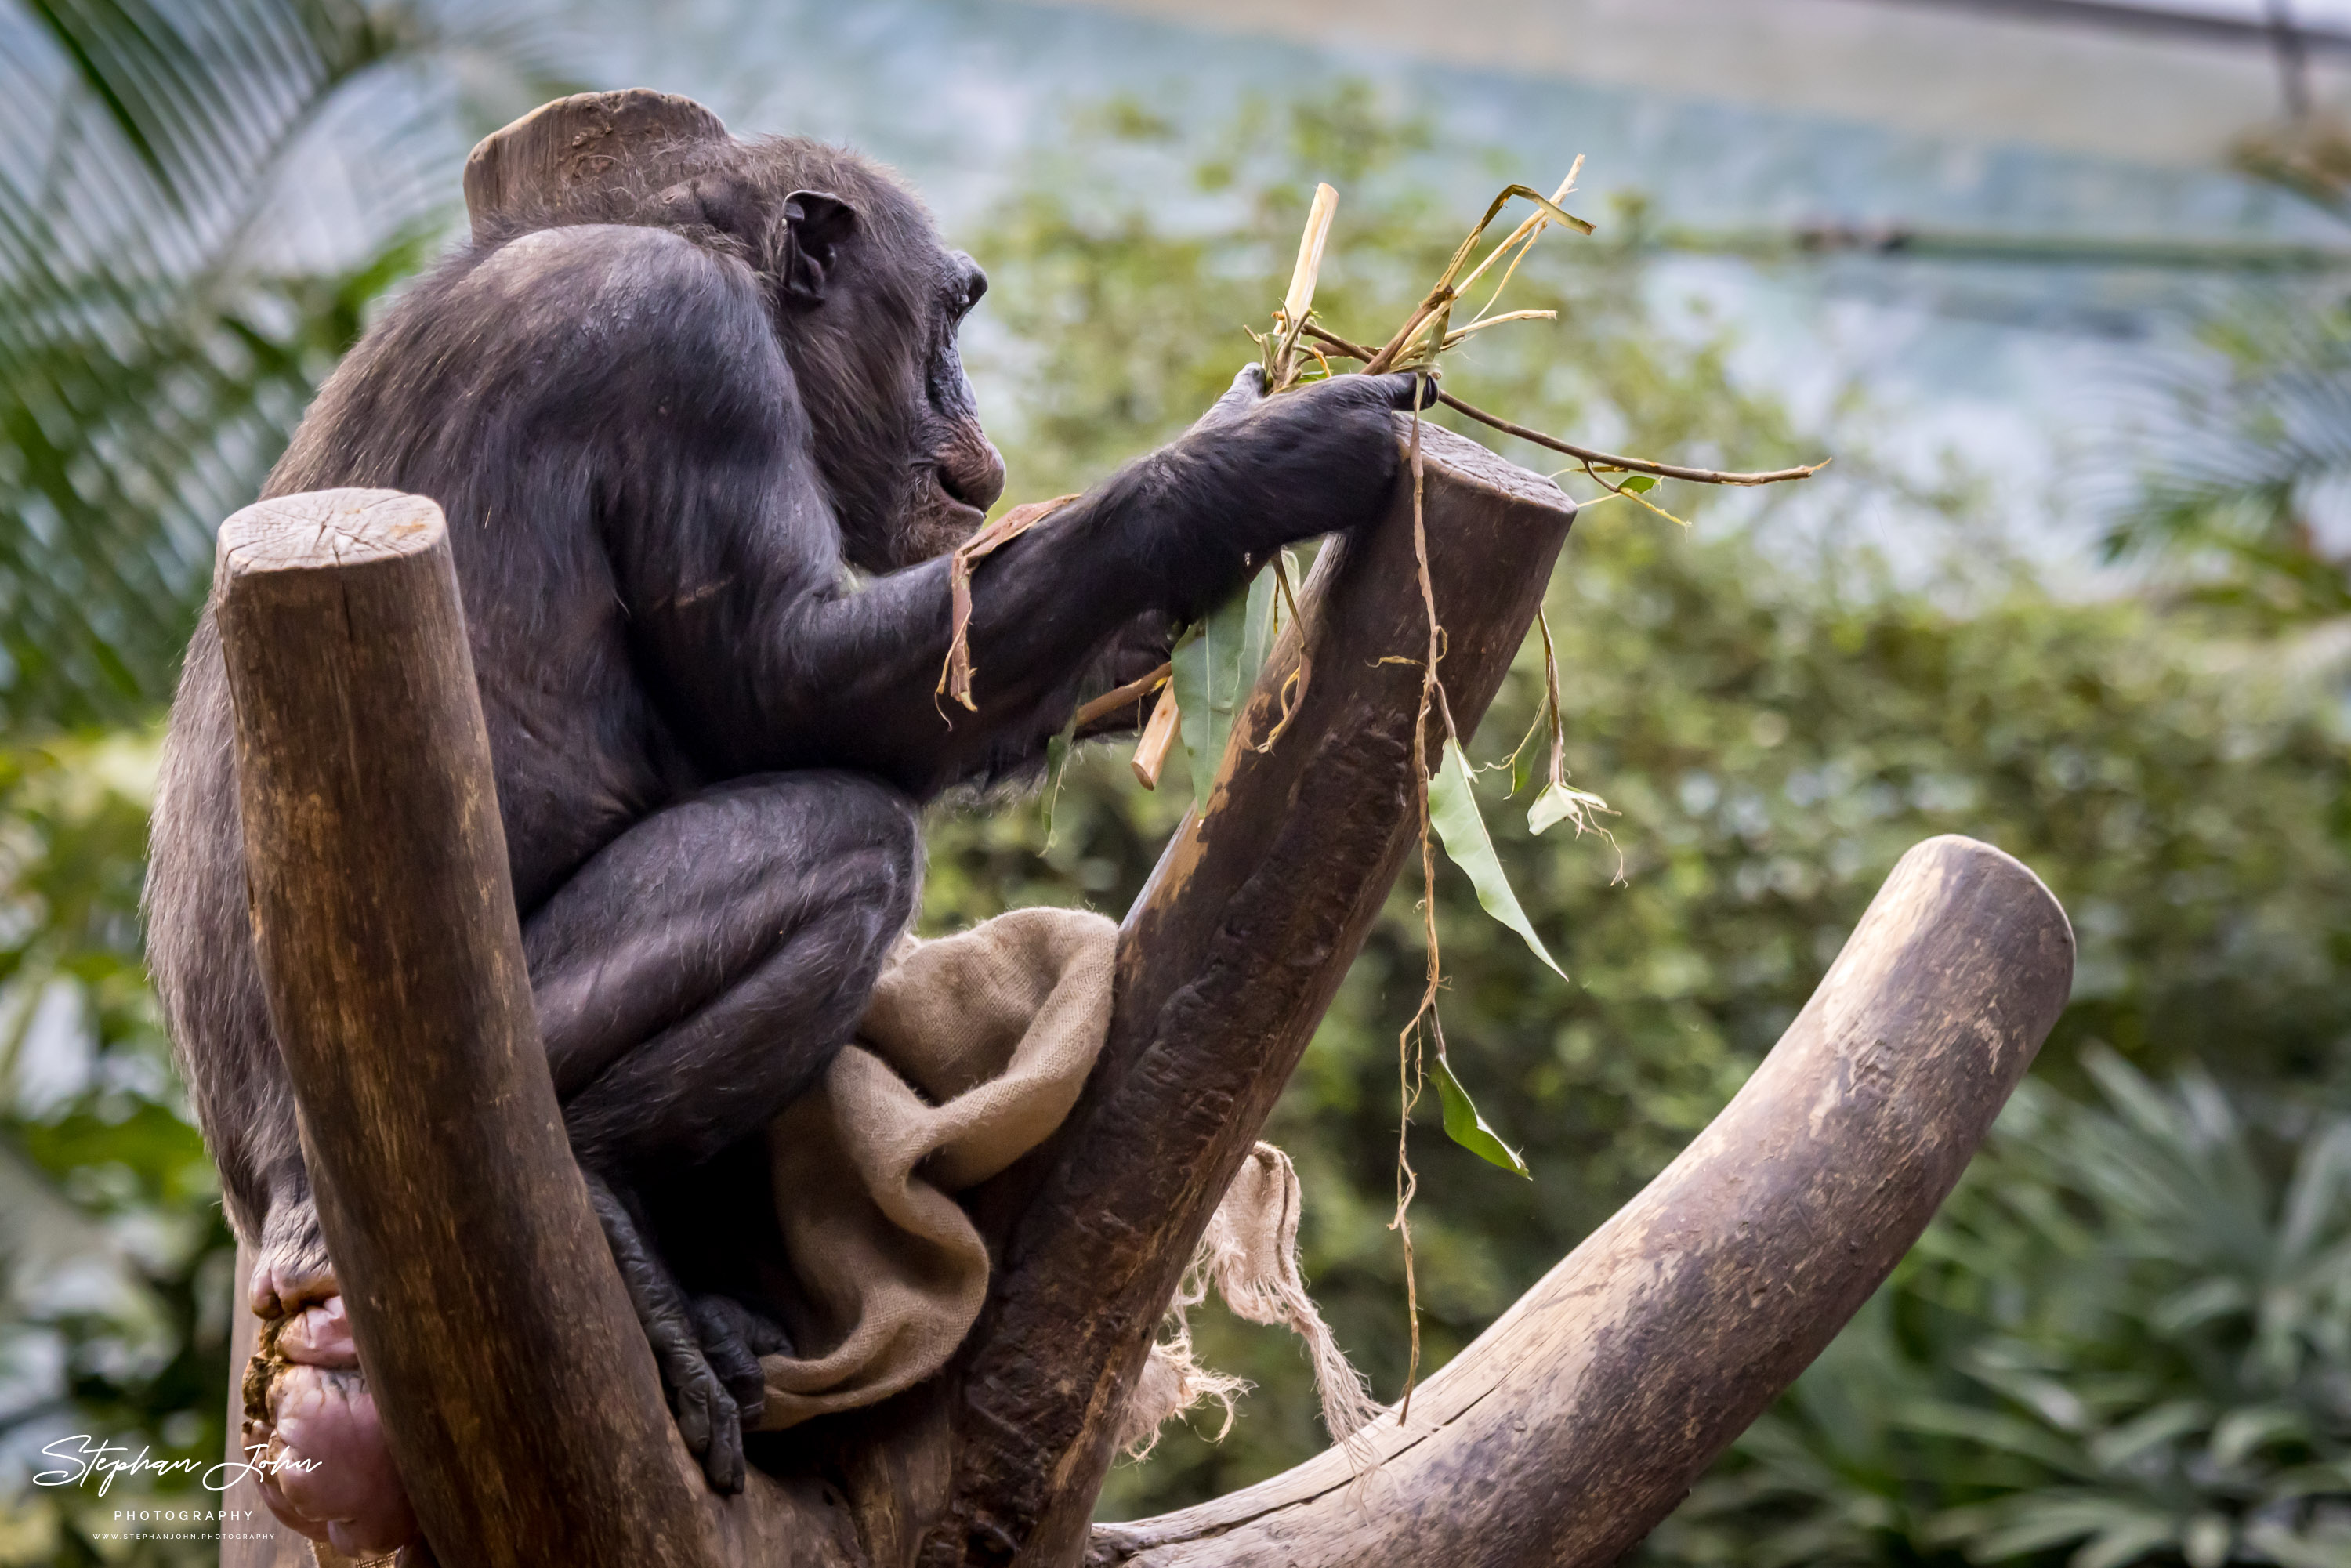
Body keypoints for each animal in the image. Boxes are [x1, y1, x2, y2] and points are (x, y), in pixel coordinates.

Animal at [151, 101, 1429, 1561]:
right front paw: (1243, 468)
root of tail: (274, 1242)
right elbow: (786, 681)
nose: (970, 411)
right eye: (947, 319)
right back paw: (614, 1213)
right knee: (843, 844)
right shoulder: (690, 356)